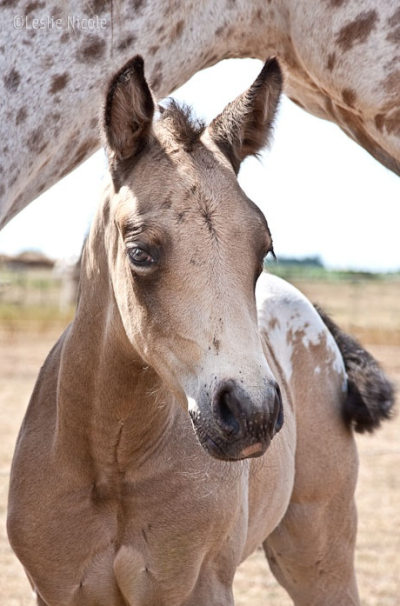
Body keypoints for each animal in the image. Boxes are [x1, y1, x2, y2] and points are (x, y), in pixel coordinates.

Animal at [7, 55, 394, 606]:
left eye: (263, 248)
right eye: (140, 252)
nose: (253, 412)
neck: (110, 460)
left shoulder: (198, 587)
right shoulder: (59, 590)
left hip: (318, 550)